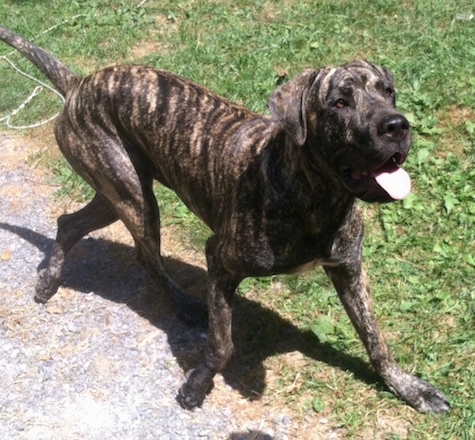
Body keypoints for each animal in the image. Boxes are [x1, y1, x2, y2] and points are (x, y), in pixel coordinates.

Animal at [0, 26, 450, 412]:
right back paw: (180, 304)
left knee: (69, 223)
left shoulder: (349, 269)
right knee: (144, 255)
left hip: (117, 194)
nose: (397, 125)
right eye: (340, 102)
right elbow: (222, 344)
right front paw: (198, 385)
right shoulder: (220, 260)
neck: (316, 197)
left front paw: (410, 389)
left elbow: (376, 339)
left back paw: (49, 278)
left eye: (388, 92)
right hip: (133, 197)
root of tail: (79, 84)